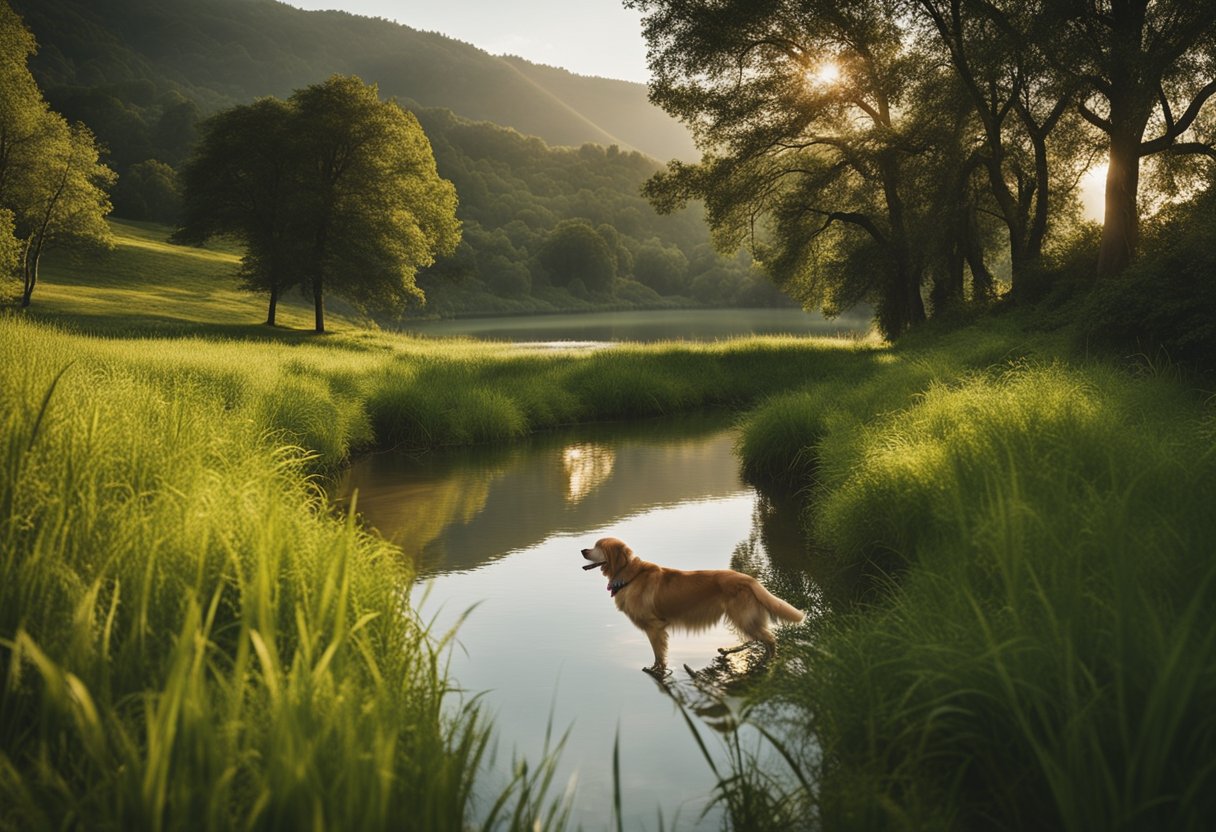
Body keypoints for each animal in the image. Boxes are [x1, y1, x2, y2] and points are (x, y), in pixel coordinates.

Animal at [581, 535, 807, 671]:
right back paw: (728, 651)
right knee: (758, 638)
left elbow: (658, 655)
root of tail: (748, 579)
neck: (631, 576)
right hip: (744, 619)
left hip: (743, 617)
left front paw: (656, 669)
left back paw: (767, 661)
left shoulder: (655, 628)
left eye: (598, 547)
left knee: (770, 639)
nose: (582, 550)